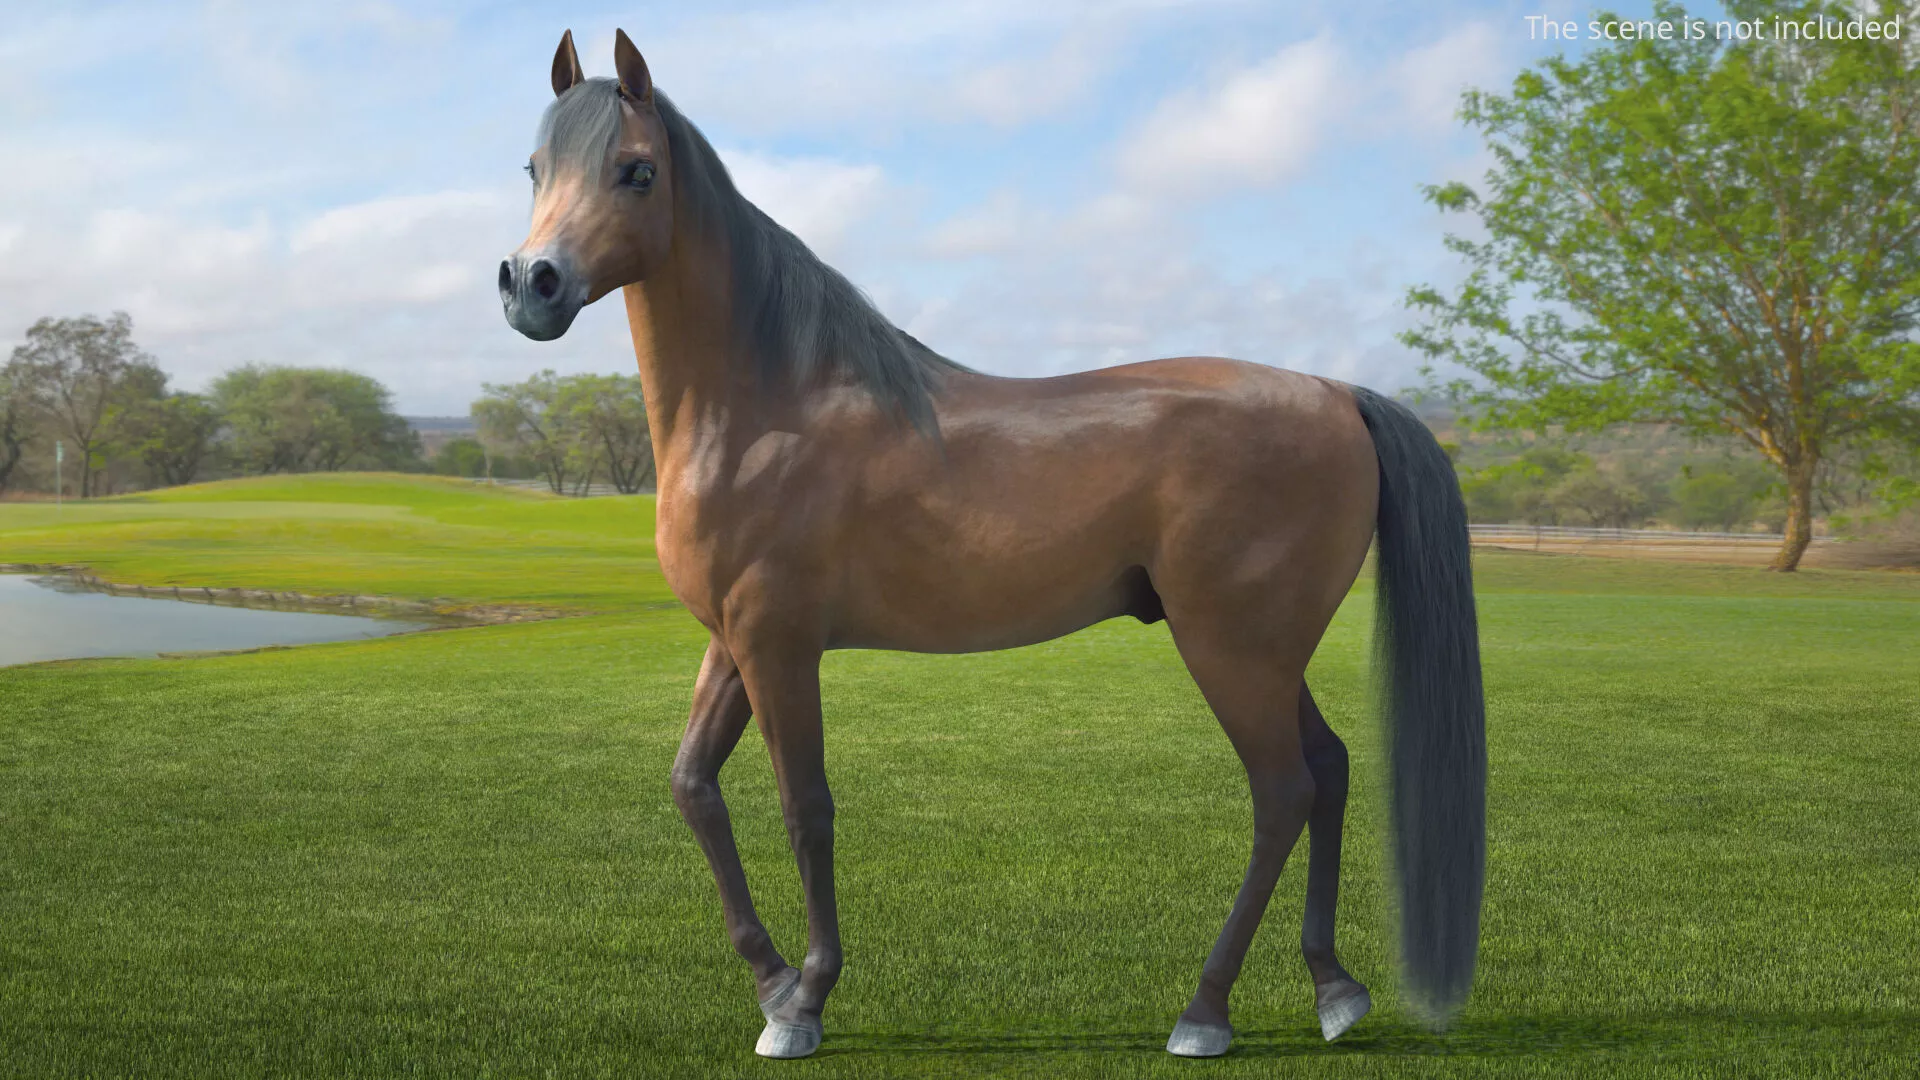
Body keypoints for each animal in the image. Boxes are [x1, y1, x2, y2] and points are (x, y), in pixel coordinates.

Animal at [500, 29, 1486, 1060]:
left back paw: (1205, 1012)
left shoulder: (779, 646)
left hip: (1232, 650)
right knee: (1329, 770)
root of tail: (1338, 393)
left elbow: (807, 810)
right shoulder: (731, 644)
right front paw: (771, 985)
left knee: (1283, 791)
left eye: (637, 170)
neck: (767, 408)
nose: (532, 285)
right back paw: (1334, 990)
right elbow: (694, 788)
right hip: (1266, 651)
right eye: (535, 167)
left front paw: (805, 1002)